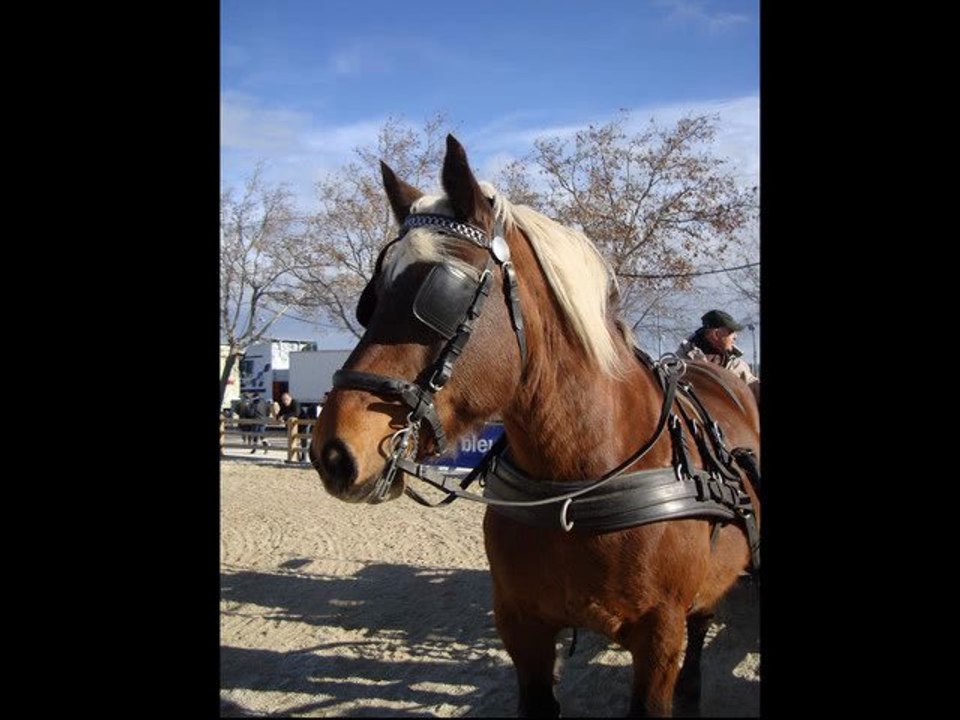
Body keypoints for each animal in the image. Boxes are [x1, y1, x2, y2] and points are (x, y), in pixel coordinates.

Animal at [310, 134, 760, 717]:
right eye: (372, 300)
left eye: (438, 297)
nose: (333, 452)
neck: (575, 486)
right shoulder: (523, 627)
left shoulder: (660, 635)